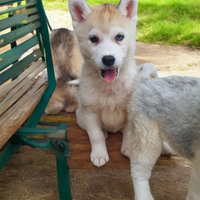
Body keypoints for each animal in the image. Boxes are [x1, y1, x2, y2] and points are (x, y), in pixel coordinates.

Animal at [68, 0, 138, 166]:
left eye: (119, 37)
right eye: (94, 39)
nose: (108, 59)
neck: (110, 86)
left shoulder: (130, 111)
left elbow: (128, 132)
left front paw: (128, 148)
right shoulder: (91, 113)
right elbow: (96, 135)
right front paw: (99, 154)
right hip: (81, 117)